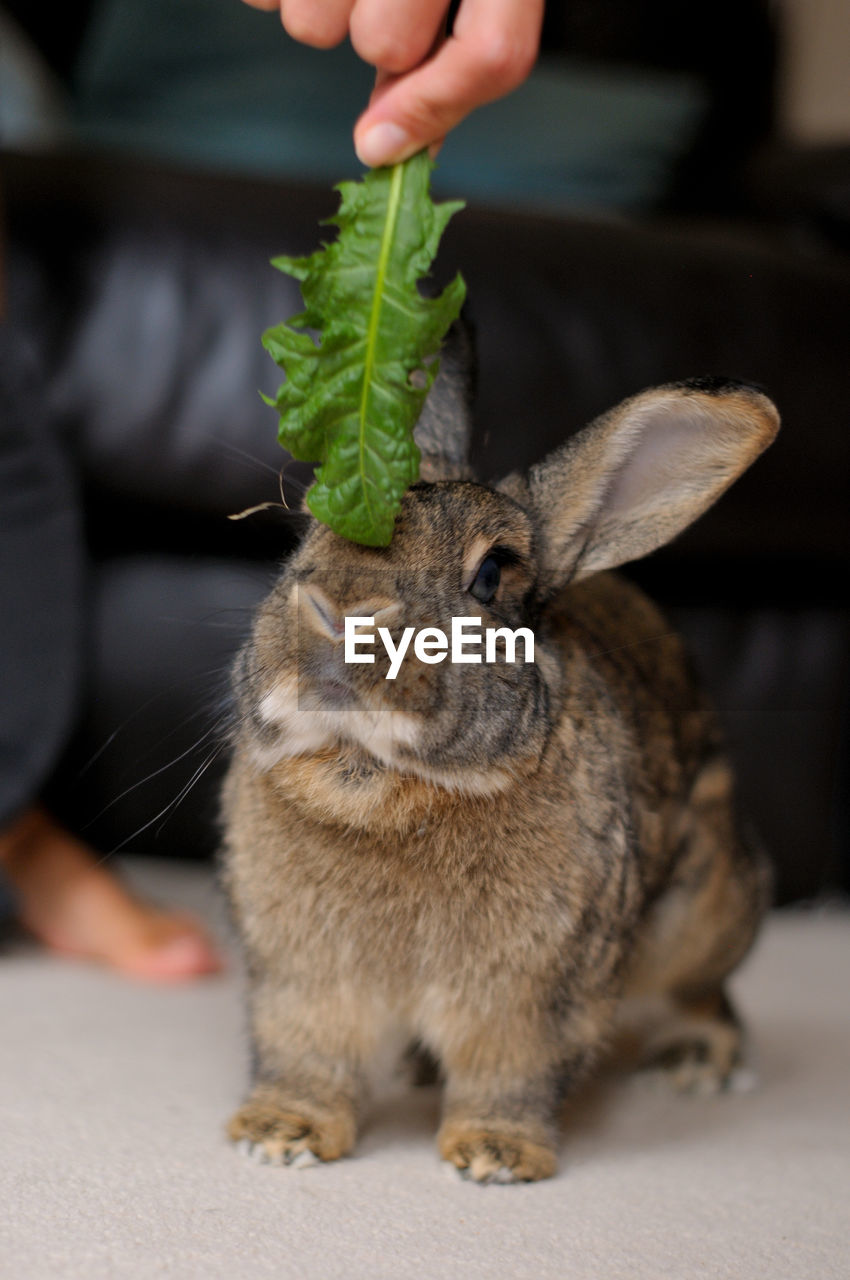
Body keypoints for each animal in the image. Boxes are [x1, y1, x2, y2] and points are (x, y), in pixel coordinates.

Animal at [222, 345, 778, 1182]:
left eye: (491, 576)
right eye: (306, 537)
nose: (342, 612)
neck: (380, 788)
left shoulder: (531, 1000)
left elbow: (509, 1072)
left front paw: (495, 1155)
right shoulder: (299, 984)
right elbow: (307, 1059)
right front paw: (278, 1134)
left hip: (699, 916)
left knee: (707, 996)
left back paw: (693, 1065)